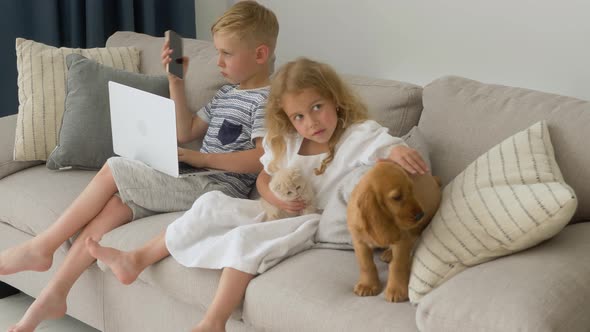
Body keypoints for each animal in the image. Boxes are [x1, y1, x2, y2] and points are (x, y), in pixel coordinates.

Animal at [350, 160, 442, 302]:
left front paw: (397, 290)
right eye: (397, 197)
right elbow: (365, 264)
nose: (420, 215)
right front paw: (368, 285)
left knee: (415, 236)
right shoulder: (359, 242)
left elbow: (397, 265)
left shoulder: (402, 240)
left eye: (412, 190)